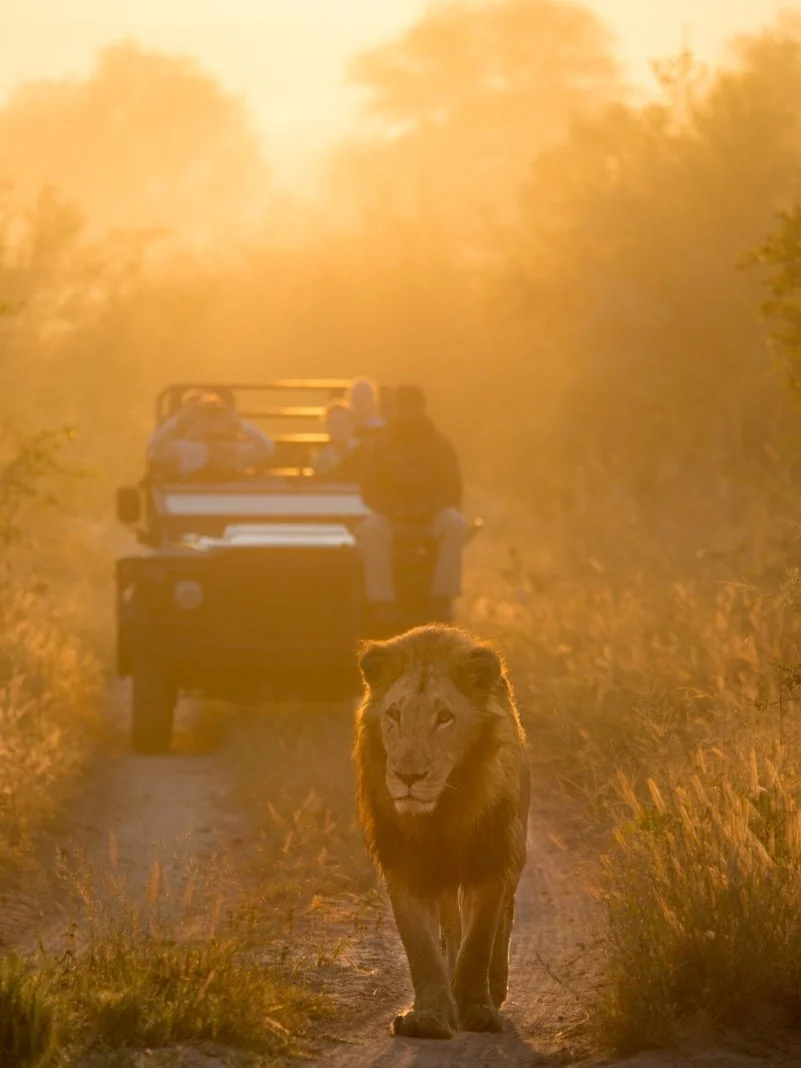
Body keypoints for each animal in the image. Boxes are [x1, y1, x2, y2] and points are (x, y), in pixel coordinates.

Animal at [353, 623, 530, 1040]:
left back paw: (495, 986)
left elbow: (479, 940)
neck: (441, 815)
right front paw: (429, 1017)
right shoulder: (404, 866)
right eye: (394, 714)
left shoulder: (490, 859)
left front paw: (476, 1008)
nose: (408, 777)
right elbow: (421, 948)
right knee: (450, 927)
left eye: (445, 718)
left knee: (504, 918)